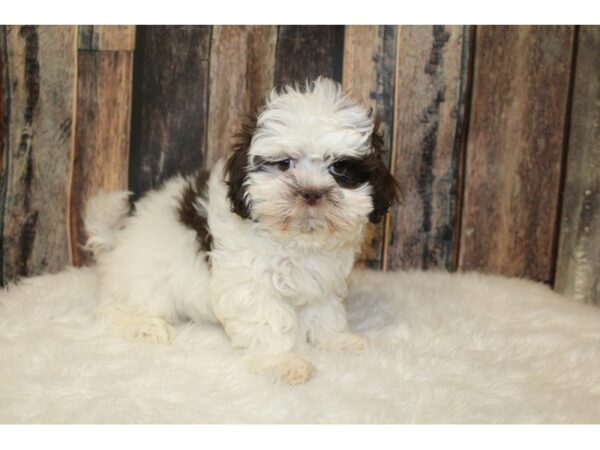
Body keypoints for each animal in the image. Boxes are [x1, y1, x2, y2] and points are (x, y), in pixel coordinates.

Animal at [85, 77, 398, 384]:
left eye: (340, 169)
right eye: (284, 164)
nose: (311, 192)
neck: (296, 239)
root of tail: (116, 243)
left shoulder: (322, 279)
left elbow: (325, 311)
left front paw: (337, 341)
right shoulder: (249, 281)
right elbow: (269, 320)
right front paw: (282, 362)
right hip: (144, 284)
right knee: (113, 309)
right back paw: (145, 326)